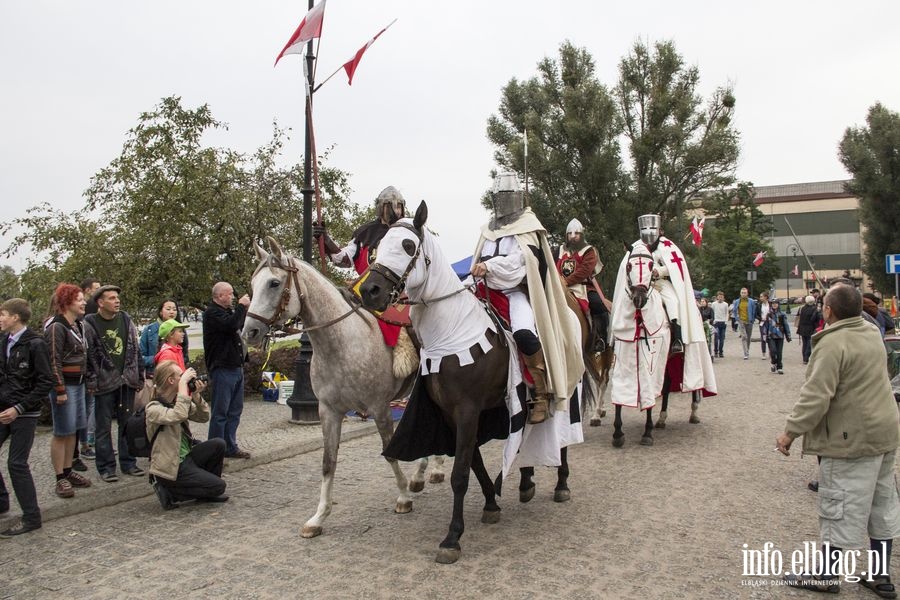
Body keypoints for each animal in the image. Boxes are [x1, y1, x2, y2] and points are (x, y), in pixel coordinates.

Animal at [243, 239, 418, 540]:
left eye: (274, 283)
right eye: (253, 284)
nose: (249, 332)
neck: (343, 344)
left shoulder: (380, 409)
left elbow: (389, 452)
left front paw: (404, 497)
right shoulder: (329, 411)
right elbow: (328, 461)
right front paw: (318, 517)